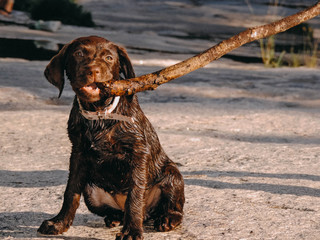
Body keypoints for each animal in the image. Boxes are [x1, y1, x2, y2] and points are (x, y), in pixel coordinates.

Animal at [37, 36, 185, 240]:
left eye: (108, 57)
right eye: (78, 54)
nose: (93, 70)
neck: (99, 115)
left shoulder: (138, 152)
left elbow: (135, 195)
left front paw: (132, 231)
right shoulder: (78, 153)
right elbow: (71, 192)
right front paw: (59, 223)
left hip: (172, 175)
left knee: (171, 207)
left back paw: (167, 218)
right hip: (91, 190)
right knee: (116, 211)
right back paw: (115, 218)